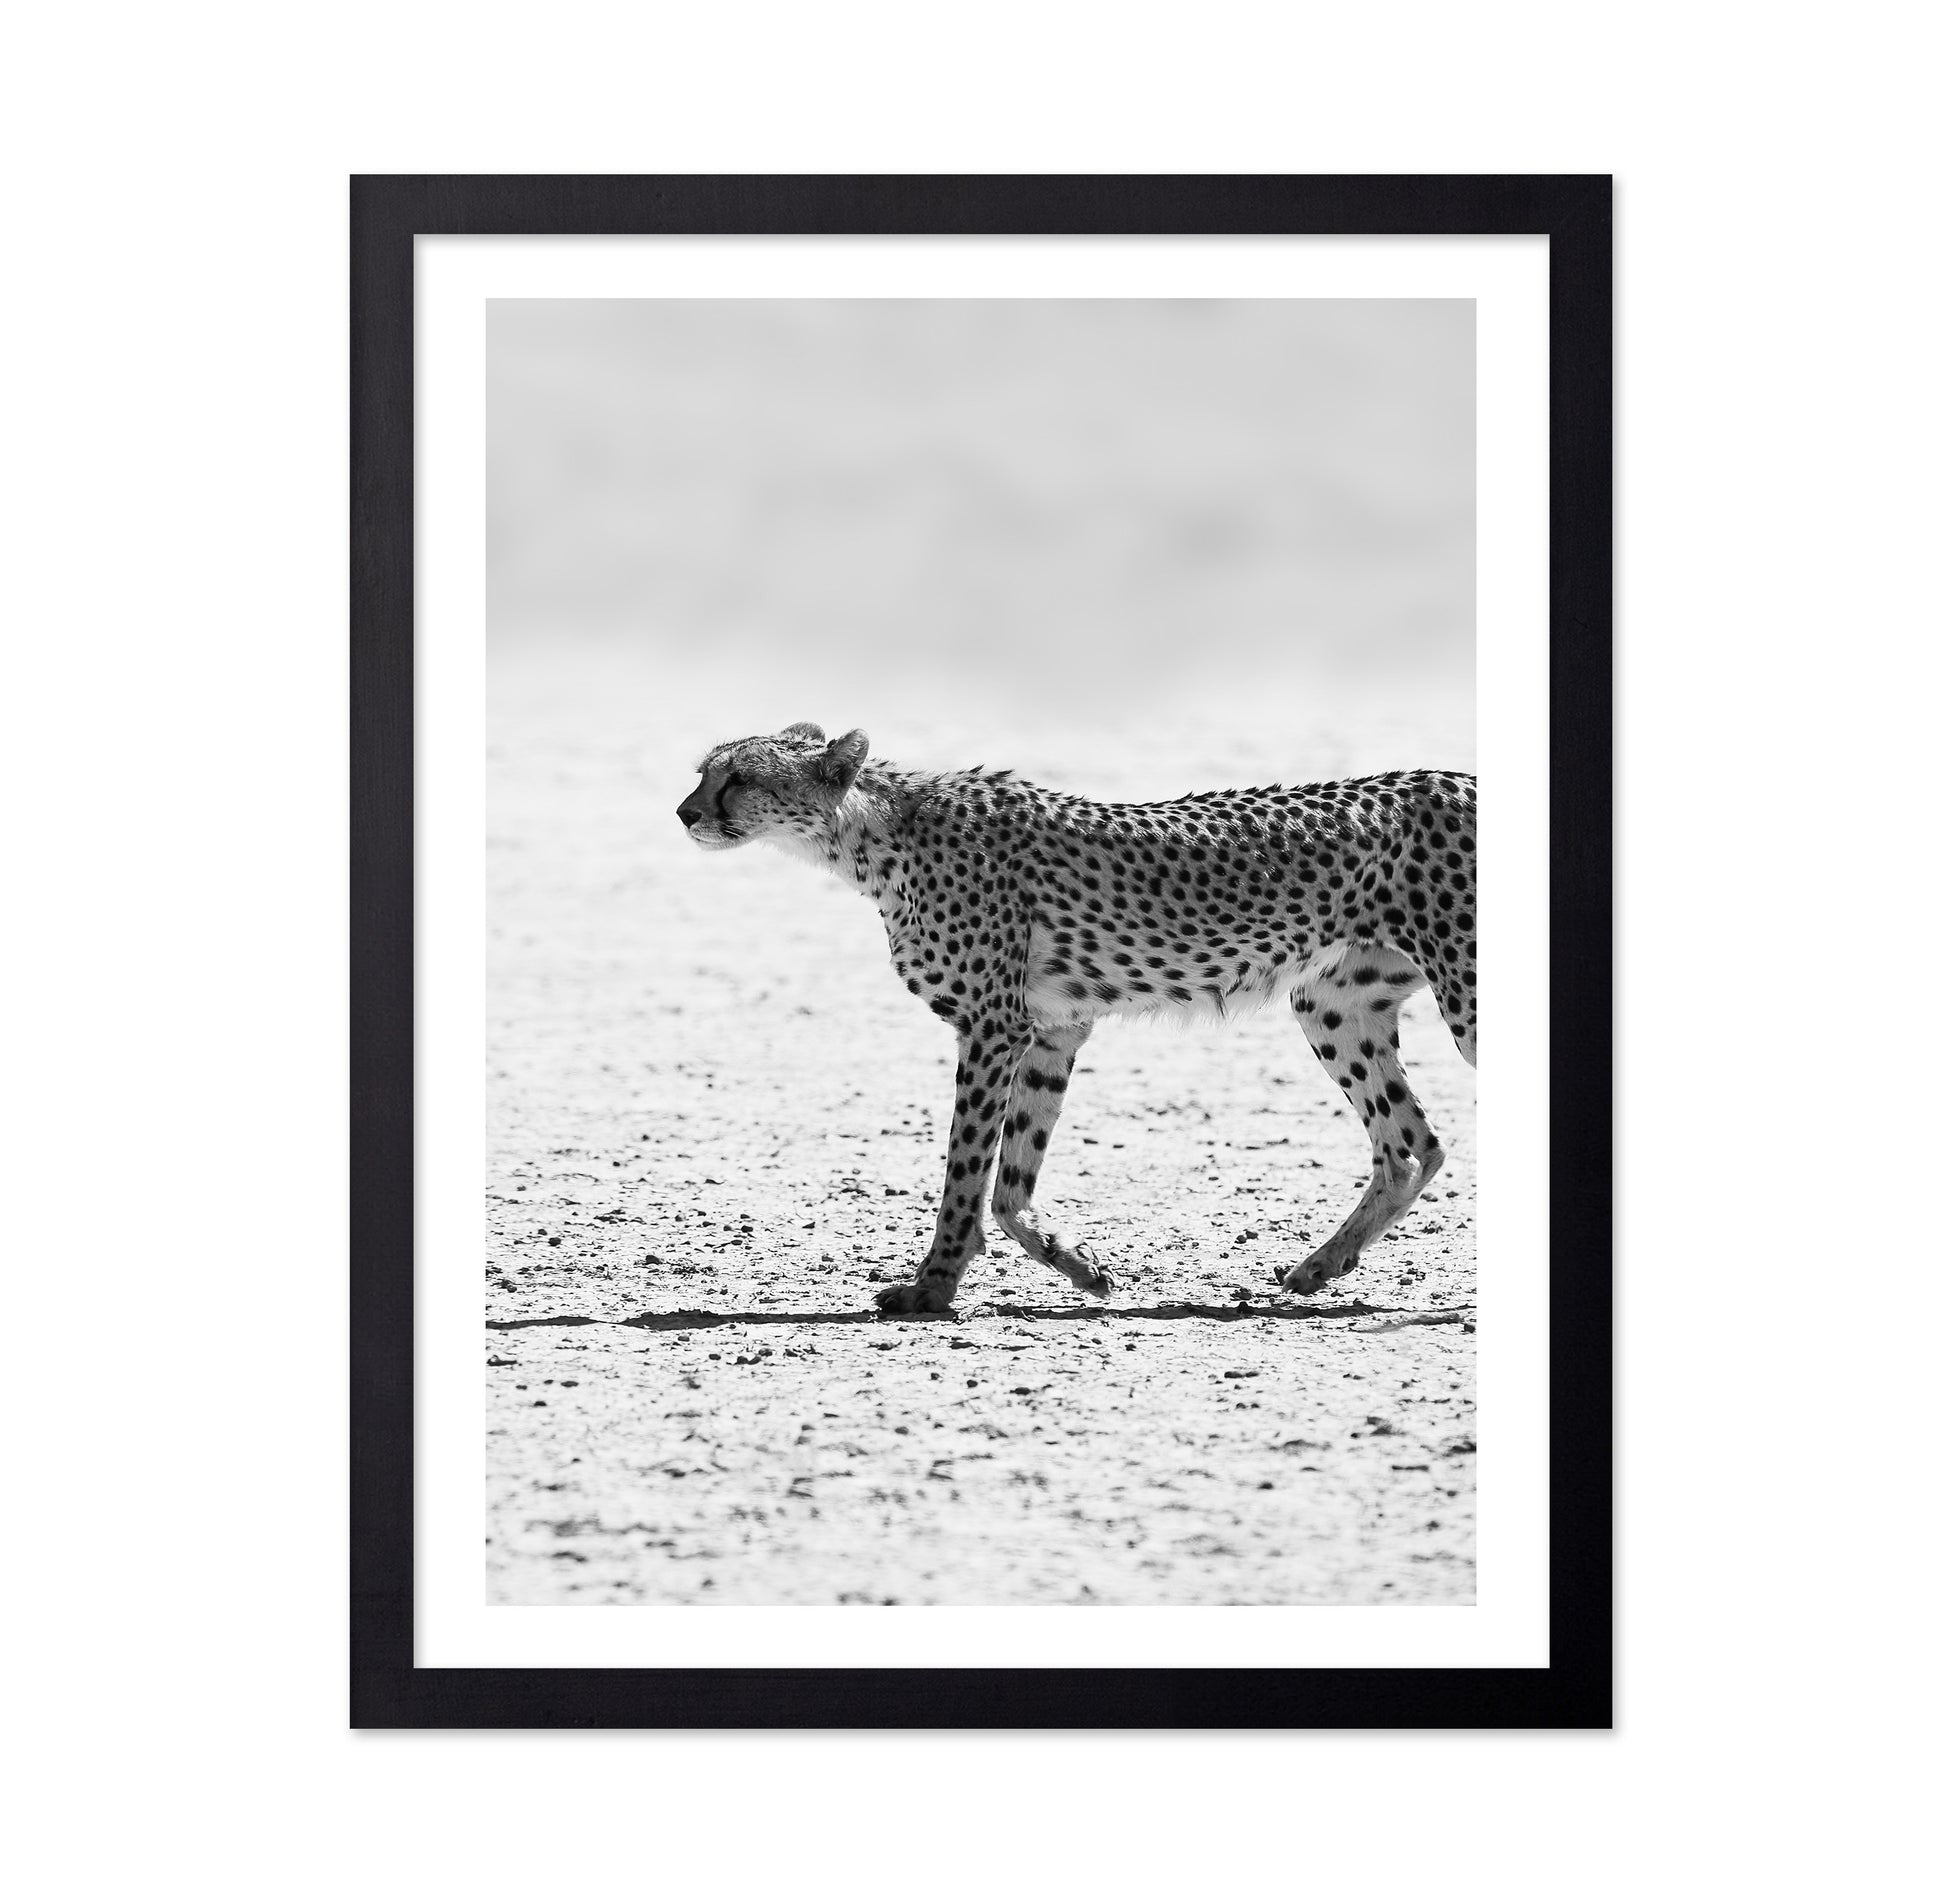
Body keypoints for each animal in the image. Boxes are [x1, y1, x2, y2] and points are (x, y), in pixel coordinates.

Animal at [677, 722, 1476, 1315]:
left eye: (738, 778)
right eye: (703, 772)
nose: (685, 812)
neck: (874, 834)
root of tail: (1458, 776)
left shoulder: (993, 1024)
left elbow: (966, 1169)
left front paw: (932, 1286)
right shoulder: (1052, 1027)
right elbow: (1011, 1182)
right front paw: (1081, 1267)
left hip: (1463, 993)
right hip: (1332, 1003)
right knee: (1411, 1145)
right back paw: (1320, 1266)